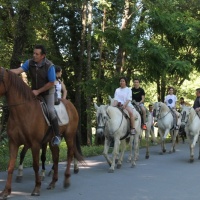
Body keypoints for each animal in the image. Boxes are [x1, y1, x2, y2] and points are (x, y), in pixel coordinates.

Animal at [0, 68, 83, 199]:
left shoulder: (35, 144)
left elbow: (36, 165)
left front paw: (37, 188)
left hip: (69, 136)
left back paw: (66, 180)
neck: (23, 111)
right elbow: (10, 166)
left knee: (70, 154)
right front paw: (6, 191)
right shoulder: (13, 143)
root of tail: (71, 105)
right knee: (56, 157)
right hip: (53, 140)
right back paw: (53, 182)